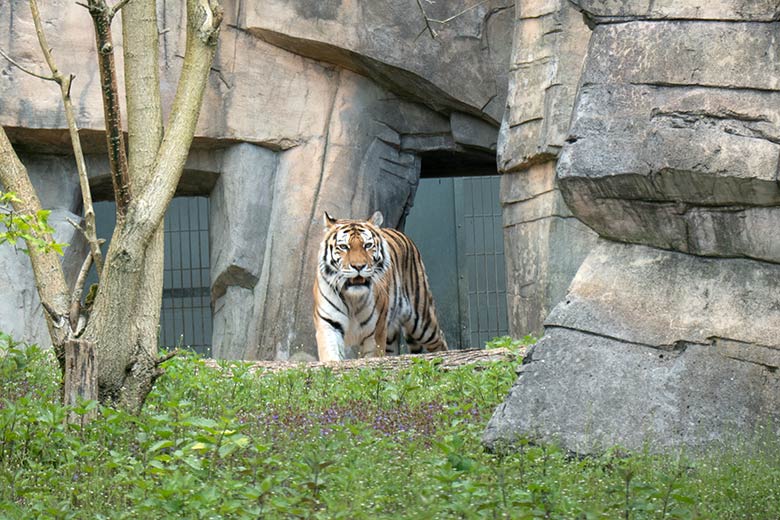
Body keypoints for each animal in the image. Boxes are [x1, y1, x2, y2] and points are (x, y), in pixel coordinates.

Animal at [314, 211, 448, 362]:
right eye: (343, 247)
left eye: (367, 245)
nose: (359, 266)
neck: (353, 299)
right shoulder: (329, 325)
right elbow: (331, 356)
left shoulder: (375, 332)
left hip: (422, 321)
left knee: (439, 339)